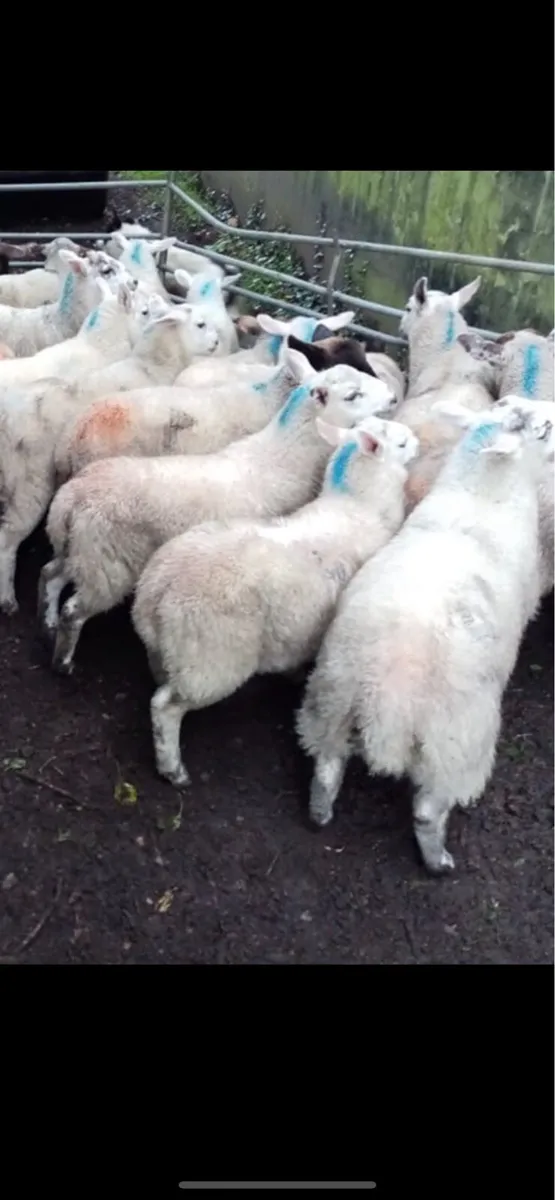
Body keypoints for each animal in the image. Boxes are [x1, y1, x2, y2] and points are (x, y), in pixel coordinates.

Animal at [131, 414, 419, 786]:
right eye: (401, 443)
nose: (418, 442)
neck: (358, 505)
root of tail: (155, 589)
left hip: (176, 653)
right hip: (210, 663)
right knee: (165, 707)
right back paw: (173, 768)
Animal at [295, 398, 553, 875]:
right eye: (543, 429)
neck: (480, 497)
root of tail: (386, 697)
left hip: (330, 699)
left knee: (325, 766)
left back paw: (320, 814)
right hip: (455, 739)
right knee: (428, 810)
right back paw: (439, 861)